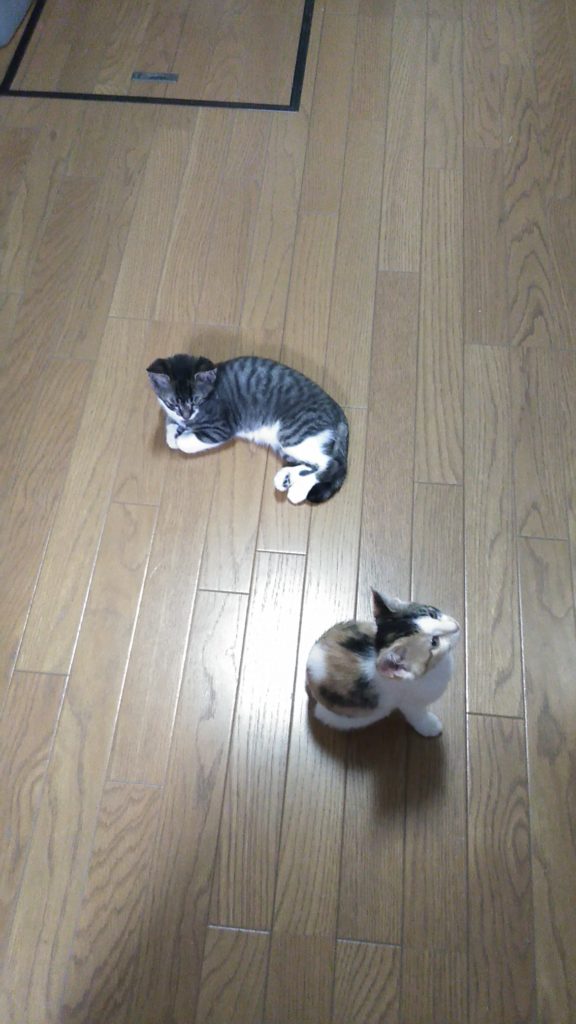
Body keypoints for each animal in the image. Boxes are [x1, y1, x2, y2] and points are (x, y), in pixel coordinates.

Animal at [147, 354, 349, 504]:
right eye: (172, 403)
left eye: (196, 400)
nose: (186, 415)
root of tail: (338, 411)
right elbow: (170, 426)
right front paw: (174, 431)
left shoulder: (221, 427)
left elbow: (185, 443)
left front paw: (182, 436)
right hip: (290, 446)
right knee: (315, 463)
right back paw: (287, 478)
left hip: (293, 434)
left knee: (331, 464)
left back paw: (298, 490)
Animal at [306, 590, 460, 736]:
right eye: (434, 642)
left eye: (432, 614)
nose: (457, 627)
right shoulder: (409, 702)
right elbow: (417, 714)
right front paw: (430, 727)